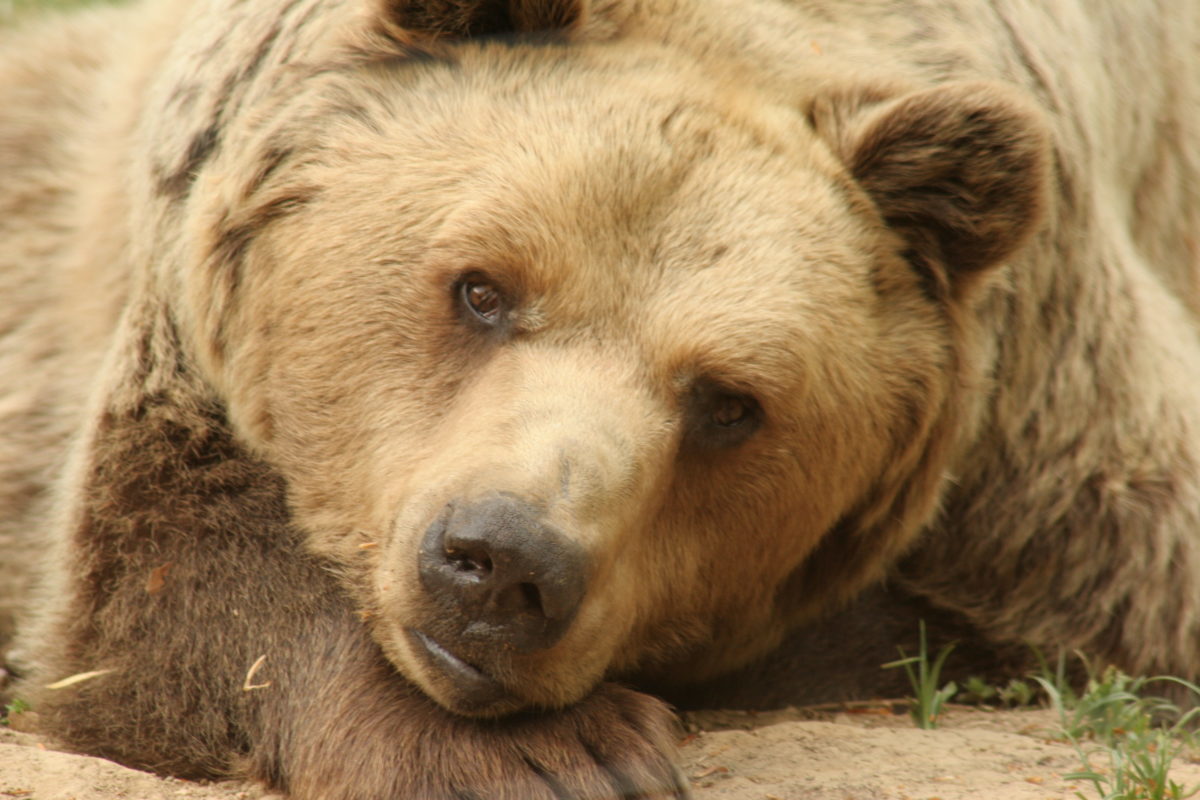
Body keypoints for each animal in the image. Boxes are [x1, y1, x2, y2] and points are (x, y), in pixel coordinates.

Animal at [0, 0, 1195, 796]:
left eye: (728, 401)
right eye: (481, 287)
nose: (501, 561)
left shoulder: (1047, 455)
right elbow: (176, 580)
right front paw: (557, 753)